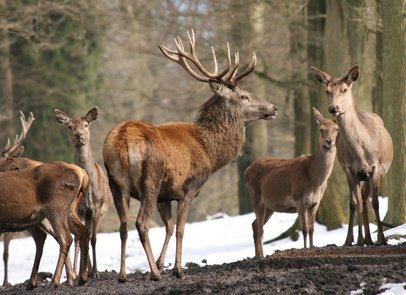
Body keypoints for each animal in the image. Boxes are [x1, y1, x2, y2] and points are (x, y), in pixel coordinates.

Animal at [0, 161, 89, 290]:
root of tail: (83, 174)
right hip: (67, 211)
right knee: (82, 231)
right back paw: (82, 277)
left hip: (55, 209)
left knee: (65, 238)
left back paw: (55, 281)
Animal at [54, 107, 112, 280]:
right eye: (69, 126)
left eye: (86, 125)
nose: (78, 135)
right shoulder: (78, 210)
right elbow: (78, 238)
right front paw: (78, 272)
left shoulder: (96, 208)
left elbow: (93, 238)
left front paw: (95, 272)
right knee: (82, 235)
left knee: (90, 234)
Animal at [103, 28, 278, 284]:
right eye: (245, 96)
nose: (274, 108)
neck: (210, 153)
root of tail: (123, 141)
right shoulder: (188, 188)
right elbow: (180, 229)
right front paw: (177, 270)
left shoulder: (165, 195)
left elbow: (168, 226)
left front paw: (161, 262)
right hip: (150, 180)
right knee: (141, 223)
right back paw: (155, 274)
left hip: (116, 183)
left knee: (124, 226)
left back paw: (123, 275)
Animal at [246, 107, 338, 256]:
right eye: (321, 129)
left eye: (336, 129)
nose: (329, 141)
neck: (315, 181)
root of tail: (246, 170)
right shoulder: (299, 199)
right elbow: (304, 229)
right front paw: (305, 249)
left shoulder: (316, 202)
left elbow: (311, 228)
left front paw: (312, 247)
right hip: (256, 197)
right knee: (260, 229)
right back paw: (261, 256)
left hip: (269, 206)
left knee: (254, 225)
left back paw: (257, 255)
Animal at [310, 66, 394, 246]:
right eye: (327, 91)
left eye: (344, 89)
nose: (333, 108)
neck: (360, 152)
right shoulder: (349, 170)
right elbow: (353, 203)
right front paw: (351, 240)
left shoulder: (375, 168)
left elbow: (376, 202)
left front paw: (382, 239)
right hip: (360, 175)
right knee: (362, 200)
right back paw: (365, 239)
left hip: (376, 173)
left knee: (367, 198)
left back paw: (372, 239)